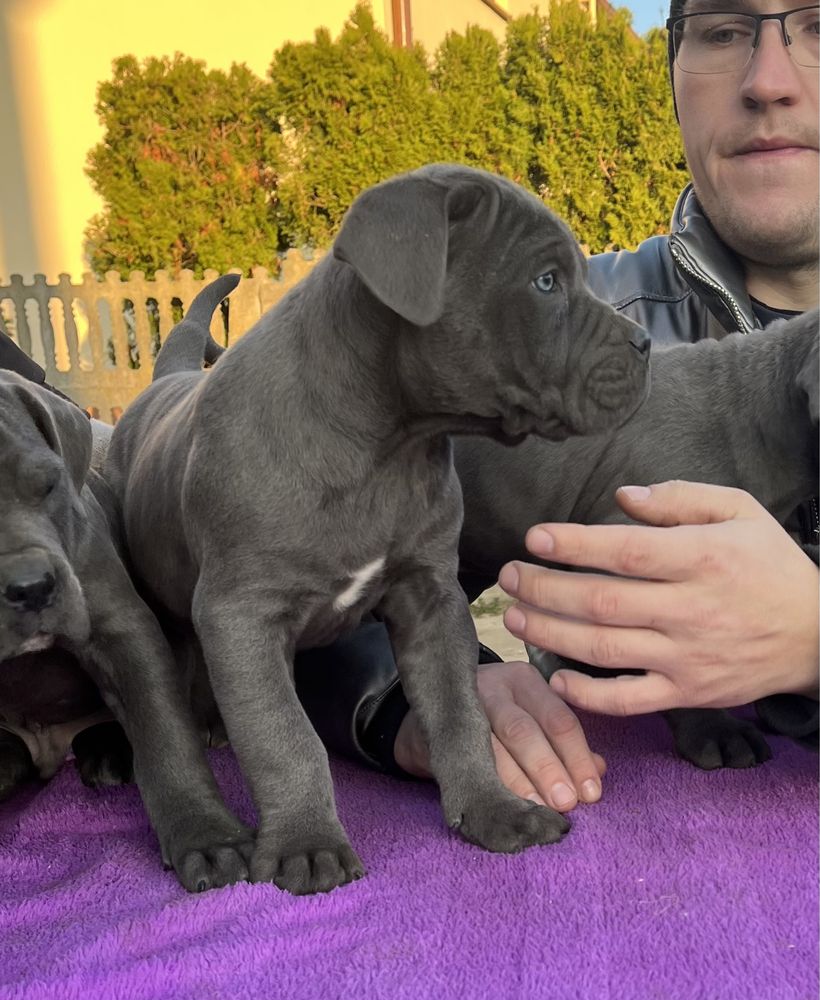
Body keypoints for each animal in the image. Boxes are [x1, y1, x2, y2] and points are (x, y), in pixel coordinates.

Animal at [105, 166, 652, 900]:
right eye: (545, 282)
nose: (645, 344)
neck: (387, 443)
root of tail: (166, 381)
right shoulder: (241, 612)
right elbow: (283, 735)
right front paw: (305, 844)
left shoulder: (431, 598)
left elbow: (458, 712)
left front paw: (493, 810)